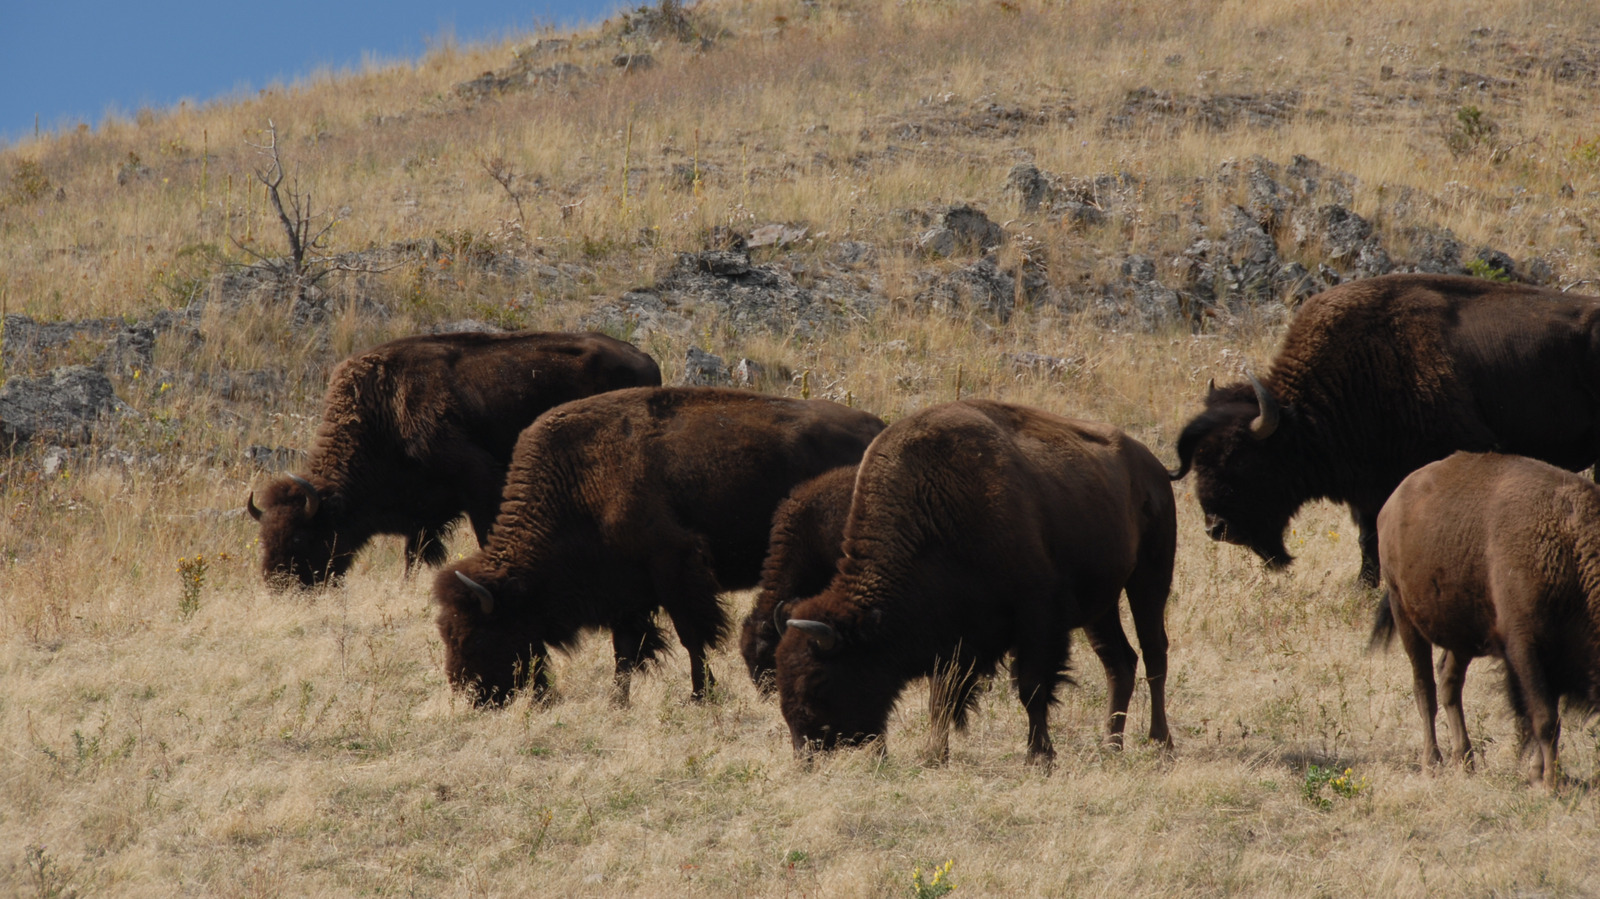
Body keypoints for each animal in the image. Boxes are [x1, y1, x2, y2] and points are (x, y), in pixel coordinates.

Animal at [249, 330, 660, 588]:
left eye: (300, 536)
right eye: (265, 537)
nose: (278, 585)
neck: (383, 412)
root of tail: (645, 360)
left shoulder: (480, 483)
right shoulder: (423, 515)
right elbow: (415, 556)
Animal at [776, 400, 1176, 765]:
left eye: (819, 680)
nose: (804, 752)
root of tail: (1153, 466)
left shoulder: (1037, 618)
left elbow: (1031, 687)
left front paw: (1040, 756)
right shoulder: (951, 638)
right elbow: (941, 697)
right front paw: (934, 754)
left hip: (1151, 578)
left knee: (1154, 654)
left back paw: (1161, 743)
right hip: (1102, 605)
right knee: (1119, 662)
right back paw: (1111, 745)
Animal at [1170, 273, 1600, 586]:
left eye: (1240, 459)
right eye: (1199, 460)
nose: (1216, 528)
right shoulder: (1367, 487)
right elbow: (1369, 536)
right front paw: (1365, 584)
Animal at [1372, 451, 1600, 789]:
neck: (1568, 546)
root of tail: (1392, 503)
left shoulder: (1555, 656)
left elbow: (1548, 714)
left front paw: (1540, 774)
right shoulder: (1525, 648)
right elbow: (1545, 718)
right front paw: (1549, 783)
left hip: (1461, 637)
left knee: (1449, 683)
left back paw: (1465, 760)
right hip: (1405, 616)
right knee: (1424, 687)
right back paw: (1432, 763)